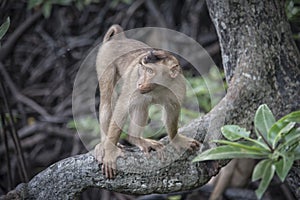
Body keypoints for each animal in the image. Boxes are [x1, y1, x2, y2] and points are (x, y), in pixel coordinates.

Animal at [95, 24, 200, 179]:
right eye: (142, 69)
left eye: (150, 71)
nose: (140, 83)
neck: (159, 87)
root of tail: (119, 38)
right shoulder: (133, 82)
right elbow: (121, 108)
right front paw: (110, 152)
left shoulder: (179, 86)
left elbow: (172, 111)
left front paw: (176, 139)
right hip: (104, 59)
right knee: (108, 99)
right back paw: (105, 143)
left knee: (141, 106)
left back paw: (135, 139)